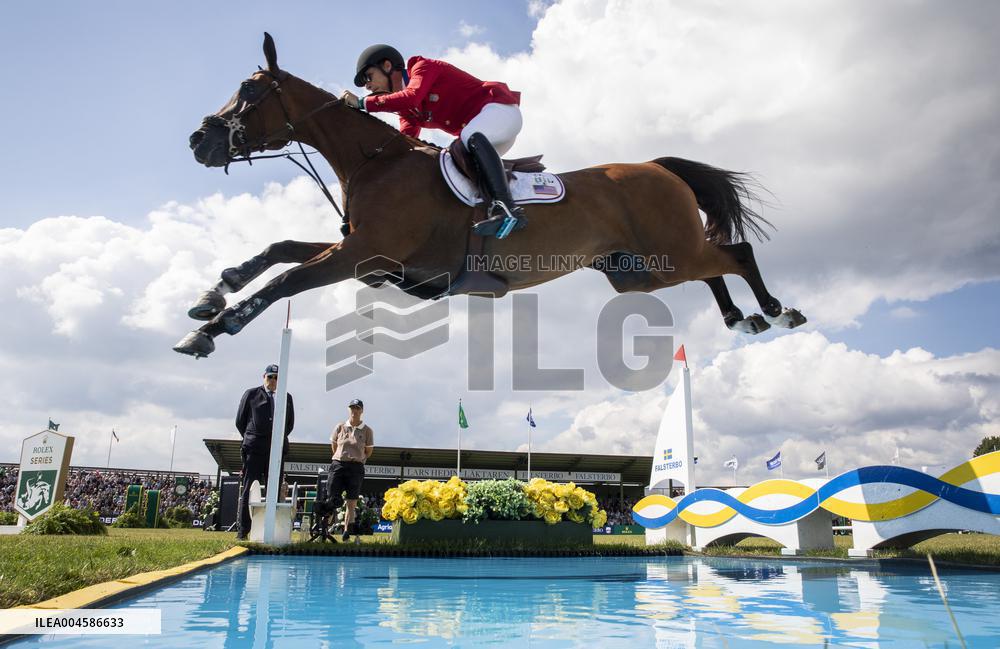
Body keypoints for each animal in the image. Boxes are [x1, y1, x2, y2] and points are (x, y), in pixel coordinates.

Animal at [174, 33, 805, 358]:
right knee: (711, 266)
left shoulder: (365, 253)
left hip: (664, 251)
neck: (375, 163)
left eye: (249, 90)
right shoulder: (369, 258)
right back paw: (742, 320)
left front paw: (209, 330)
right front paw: (213, 292)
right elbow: (280, 249)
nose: (198, 141)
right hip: (640, 271)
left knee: (735, 254)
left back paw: (777, 311)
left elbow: (286, 278)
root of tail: (656, 167)